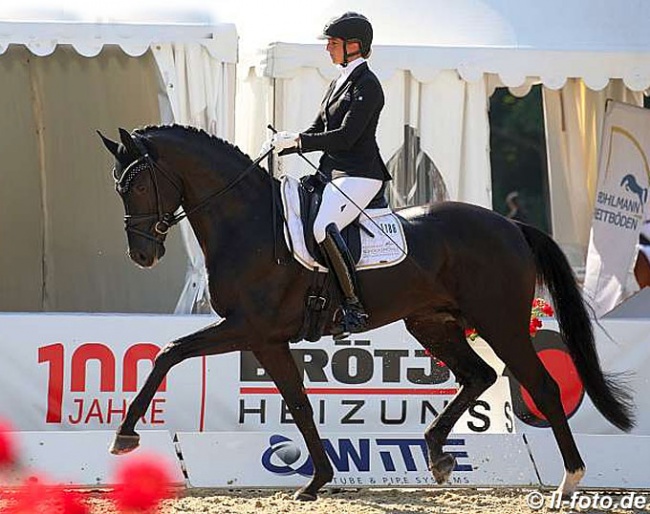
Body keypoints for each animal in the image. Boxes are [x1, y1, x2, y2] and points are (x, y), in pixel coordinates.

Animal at [98, 125, 632, 500]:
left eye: (137, 187)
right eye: (117, 188)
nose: (141, 255)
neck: (246, 223)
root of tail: (510, 224)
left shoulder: (247, 327)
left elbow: (169, 352)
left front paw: (124, 435)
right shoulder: (265, 339)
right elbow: (298, 403)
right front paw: (316, 480)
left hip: (500, 322)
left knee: (541, 386)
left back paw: (568, 481)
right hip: (432, 323)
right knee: (478, 375)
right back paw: (437, 455)